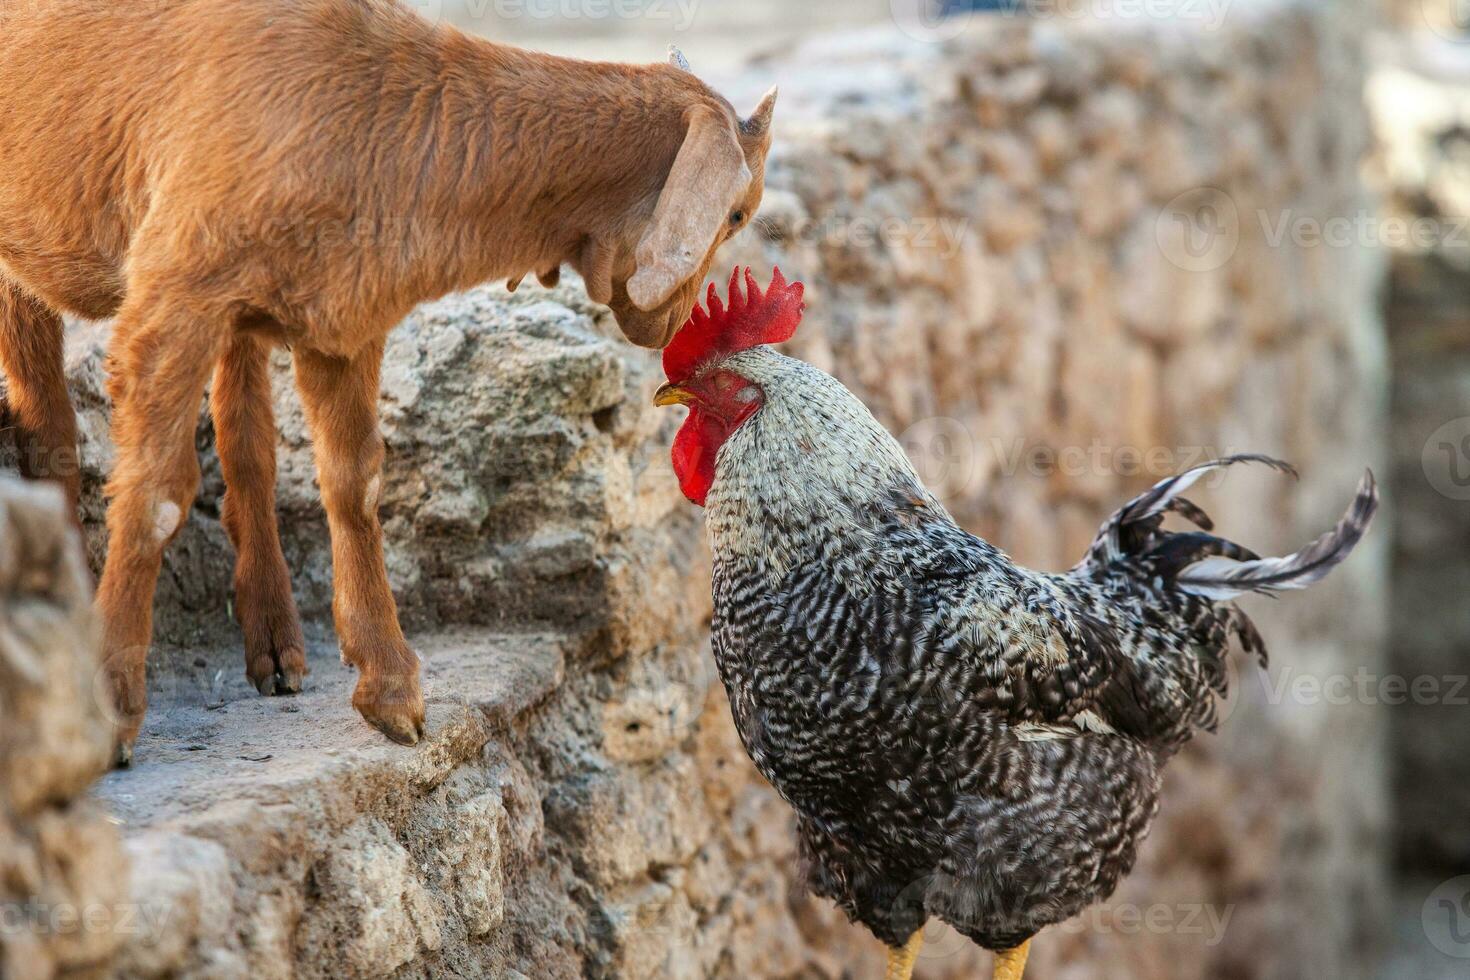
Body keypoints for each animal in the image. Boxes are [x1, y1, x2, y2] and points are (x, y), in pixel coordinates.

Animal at [0, 0, 782, 764]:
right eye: (738, 212)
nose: (671, 321)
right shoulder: (173, 300)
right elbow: (156, 492)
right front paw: (113, 709)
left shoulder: (337, 319)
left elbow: (355, 484)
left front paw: (390, 689)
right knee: (52, 424)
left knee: (244, 439)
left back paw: (276, 647)